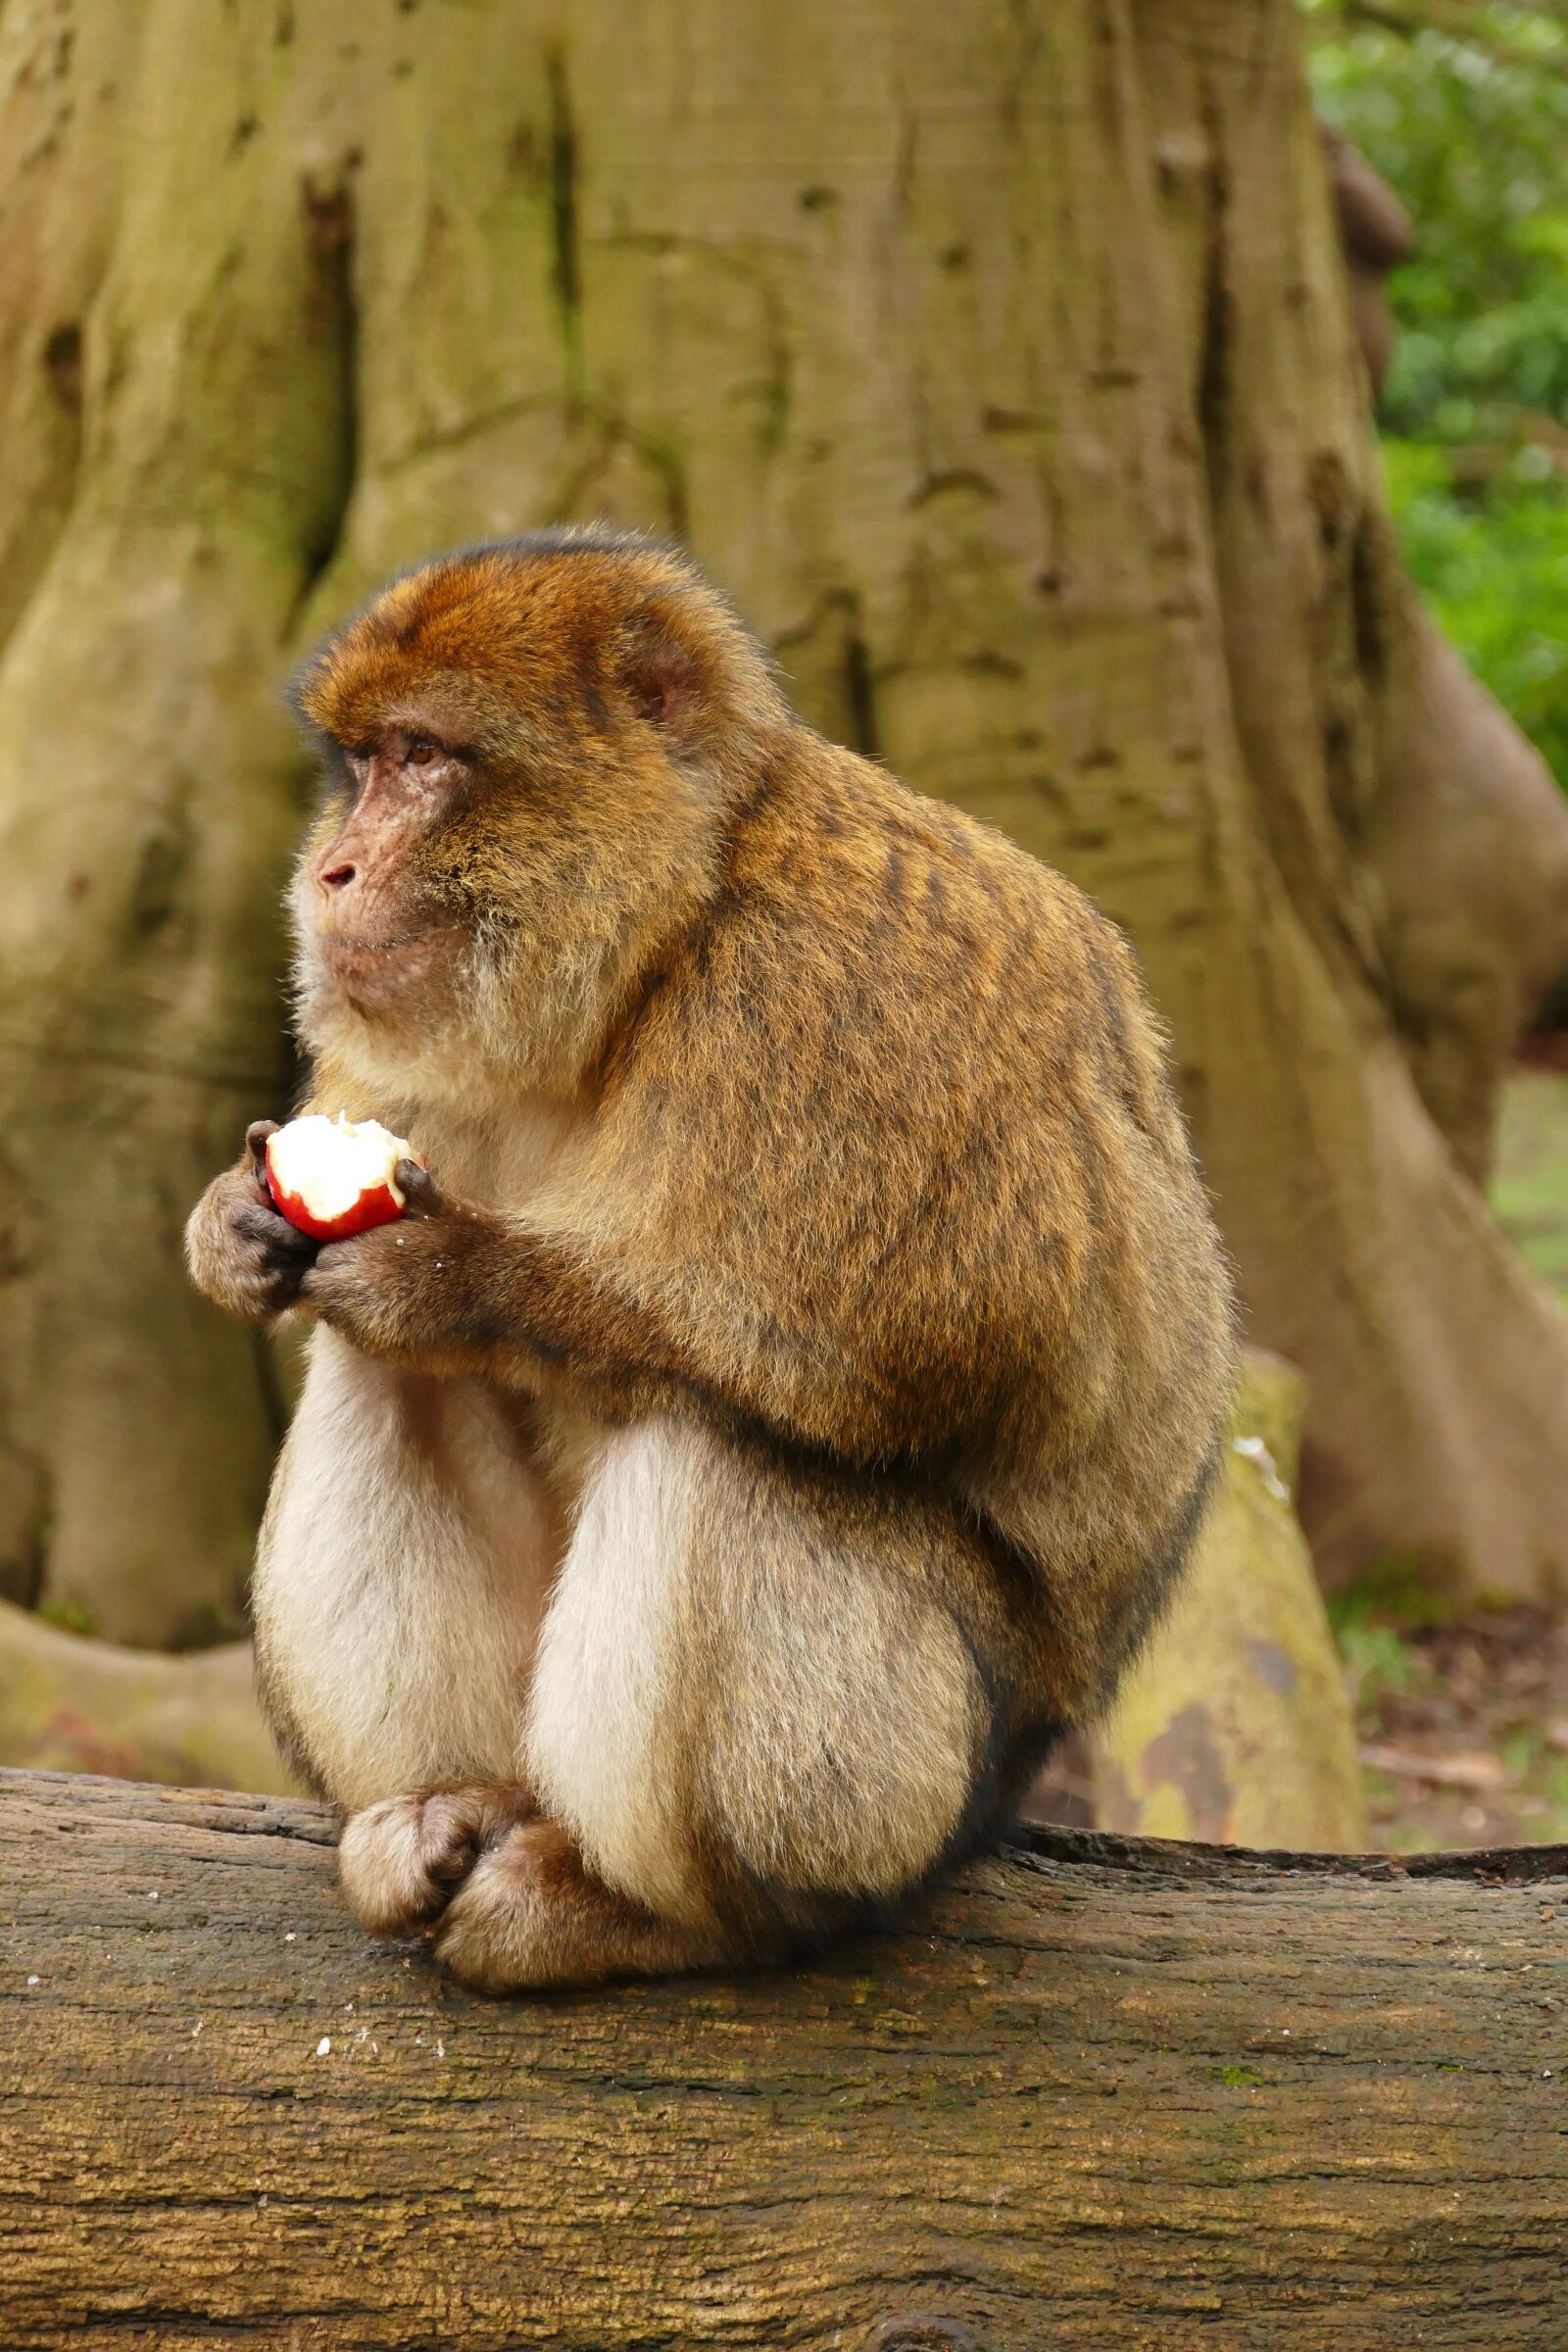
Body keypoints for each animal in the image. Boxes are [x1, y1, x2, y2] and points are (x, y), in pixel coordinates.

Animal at [185, 527, 1236, 1994]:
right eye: (362, 765)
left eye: (425, 758)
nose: (332, 870)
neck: (661, 938)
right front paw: (229, 1226)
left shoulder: (837, 991)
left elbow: (950, 1335)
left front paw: (446, 1279)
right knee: (389, 1376)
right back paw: (449, 1802)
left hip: (922, 1791)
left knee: (713, 1441)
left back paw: (661, 1915)